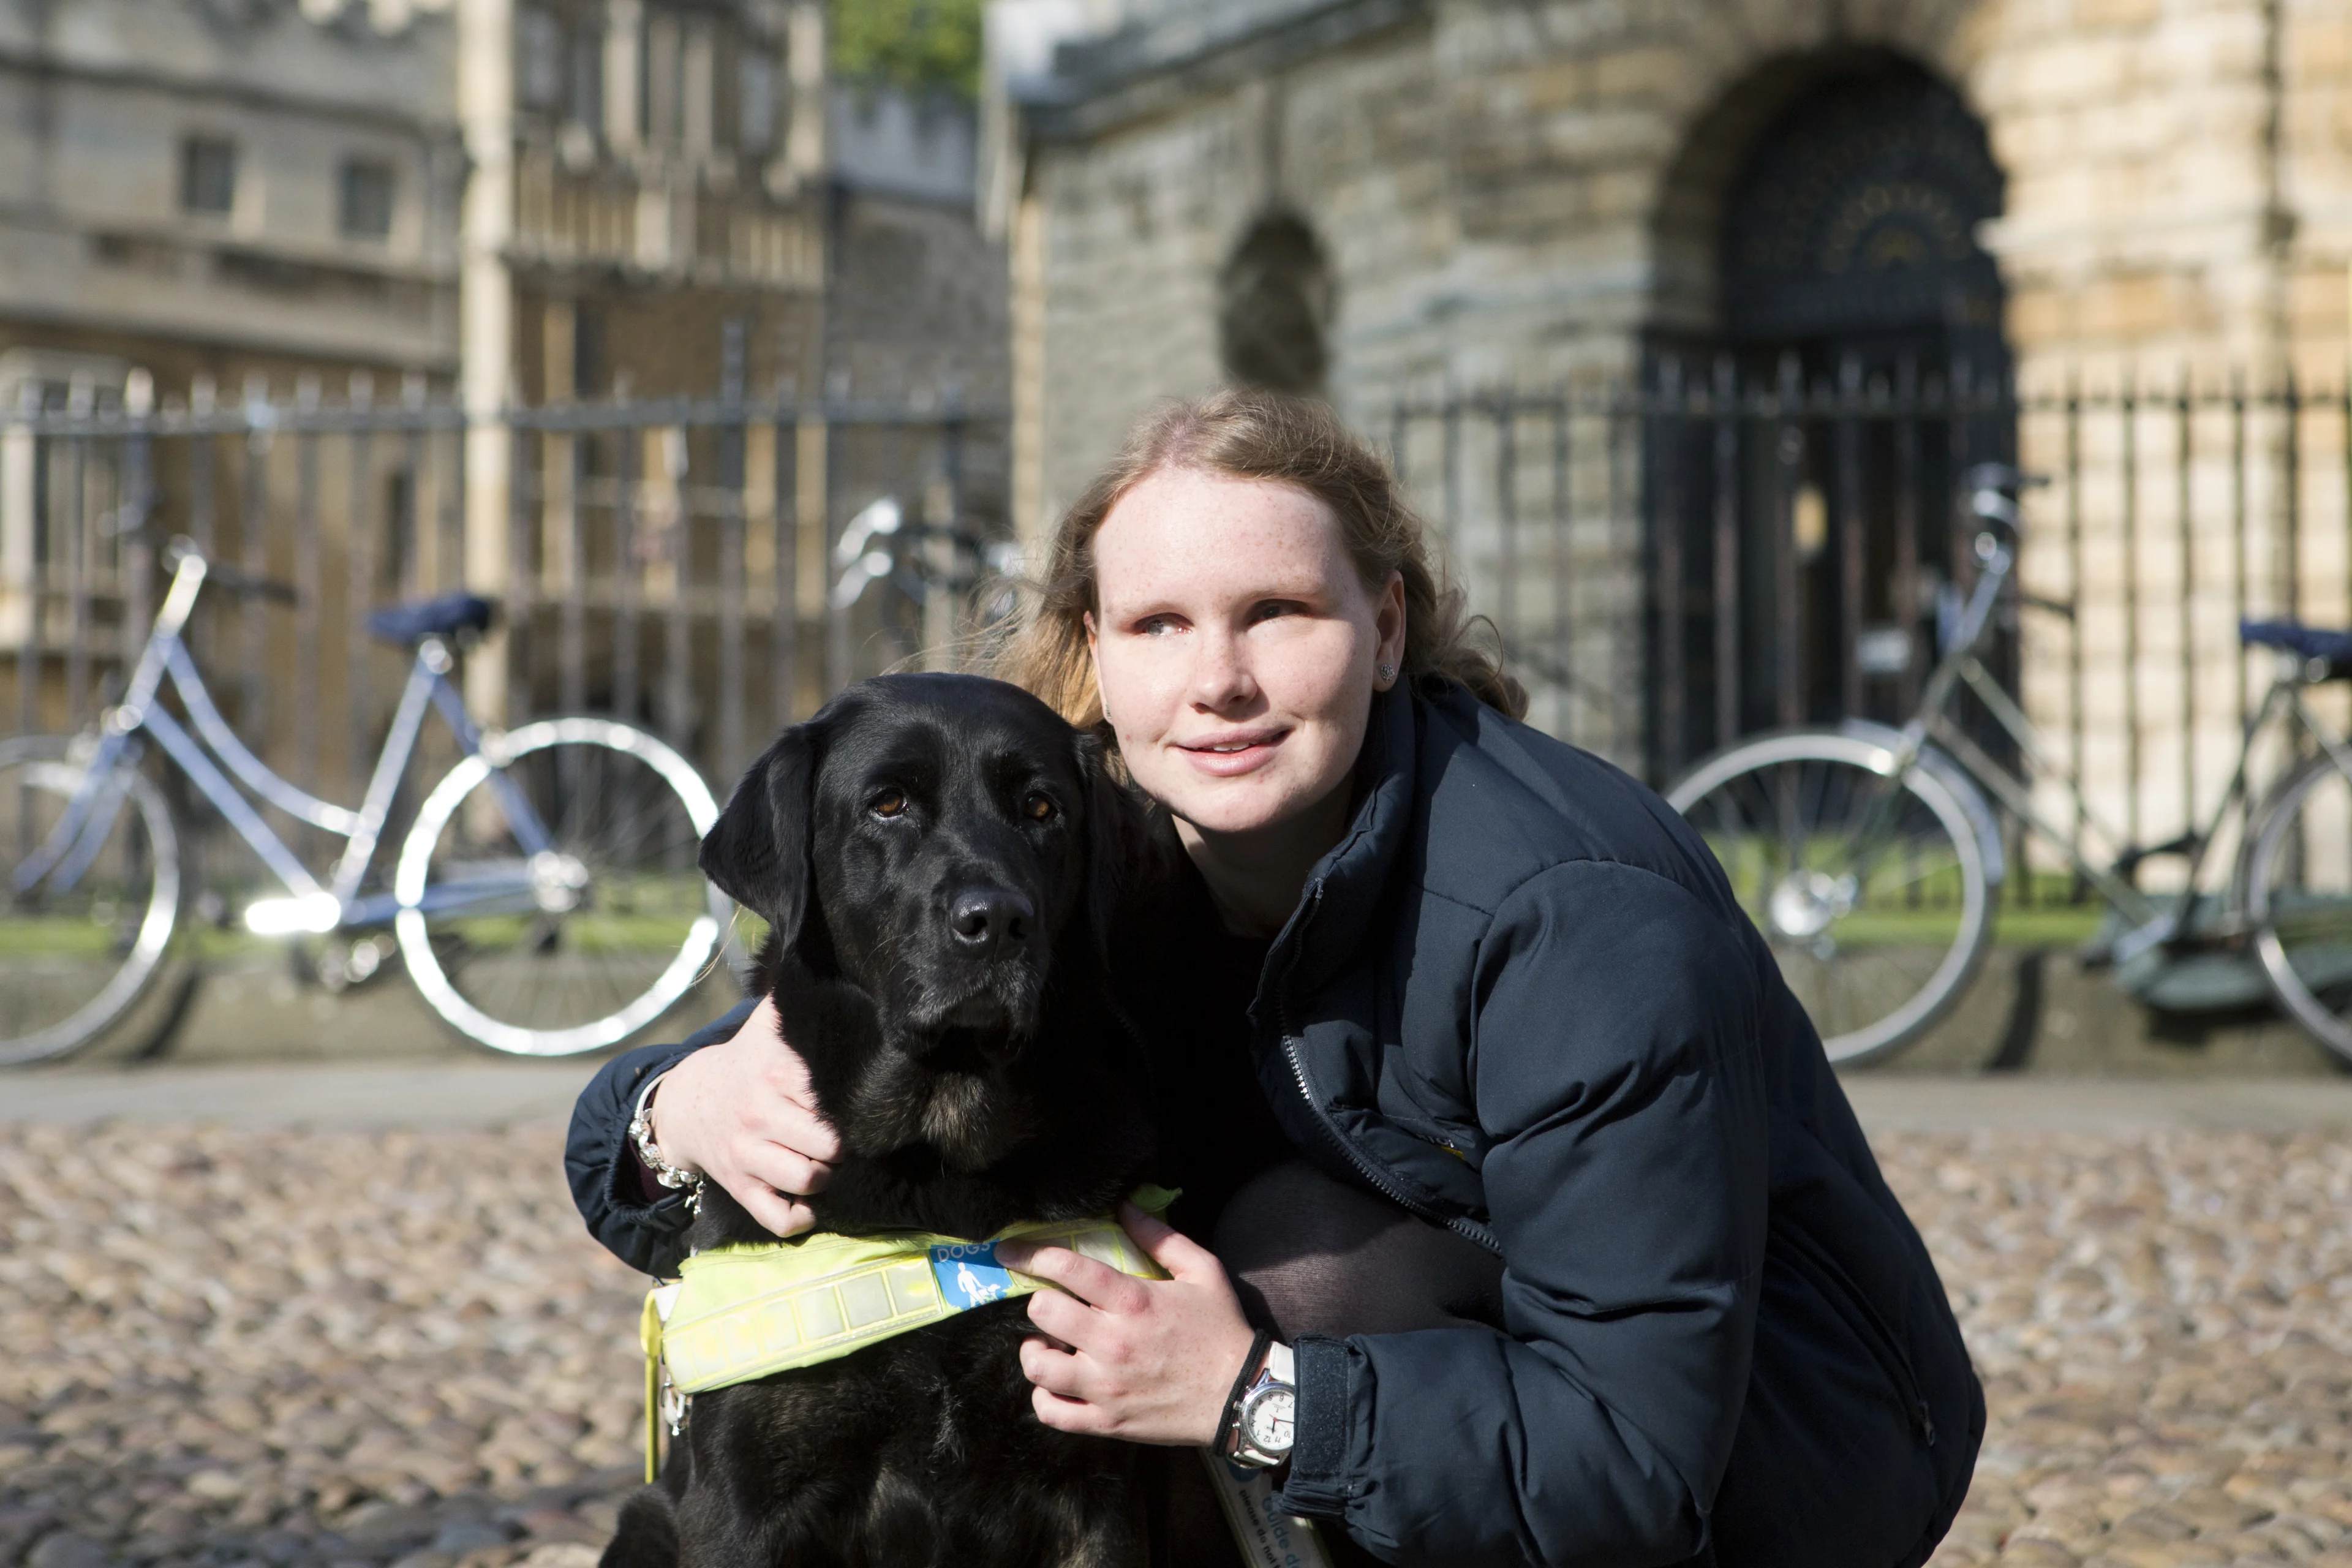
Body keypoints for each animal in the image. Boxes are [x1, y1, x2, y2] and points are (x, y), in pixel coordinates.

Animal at [597, 677, 1157, 1568]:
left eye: (1042, 808)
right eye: (888, 802)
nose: (997, 920)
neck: (937, 1174)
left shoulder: (1097, 1491)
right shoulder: (741, 1505)